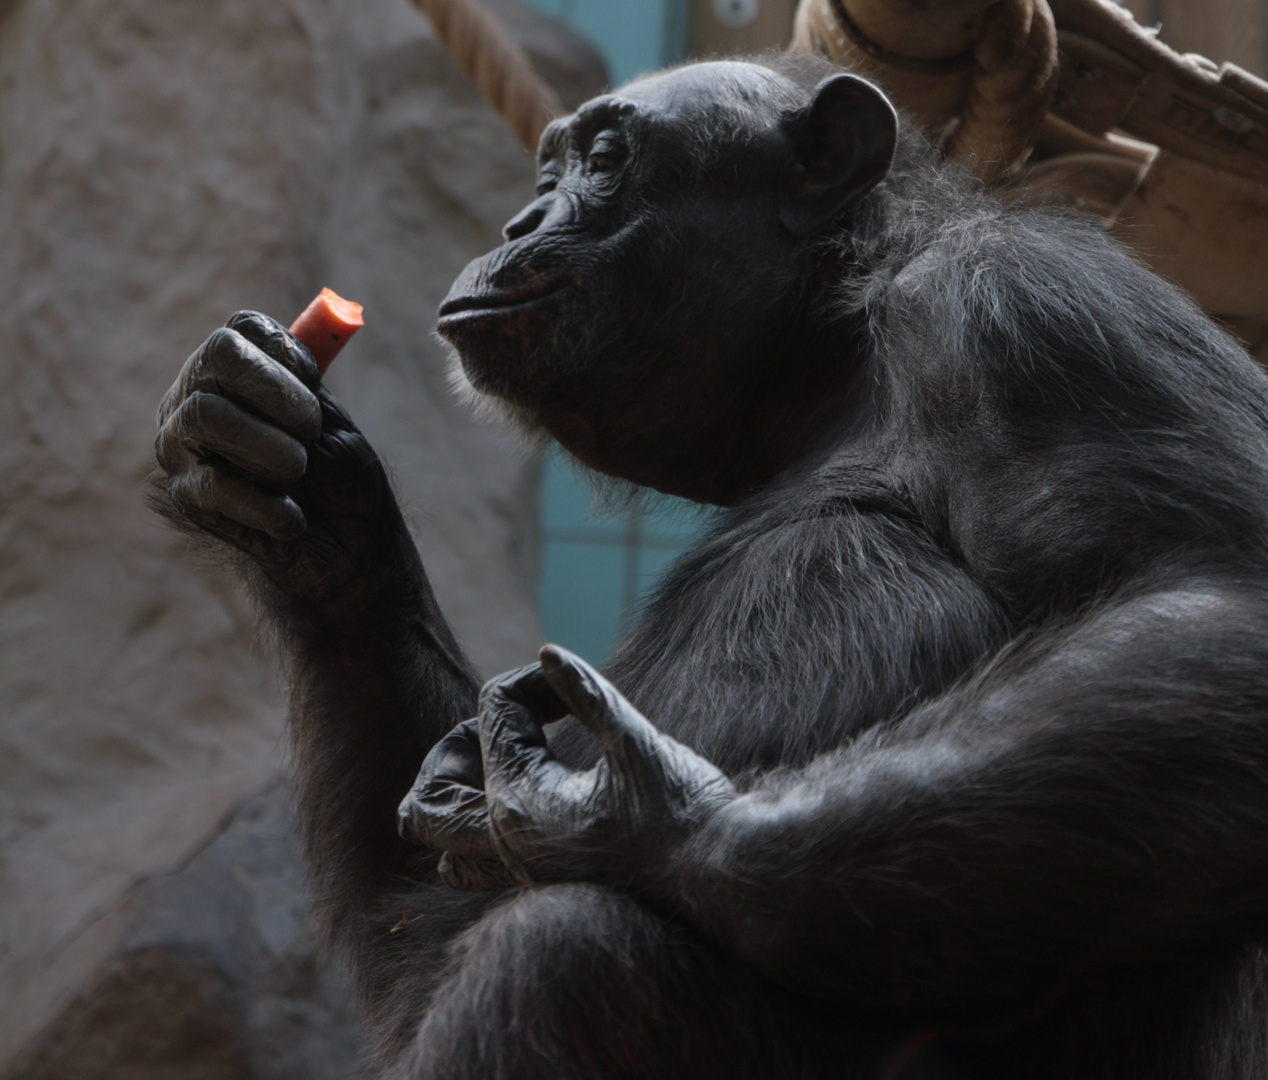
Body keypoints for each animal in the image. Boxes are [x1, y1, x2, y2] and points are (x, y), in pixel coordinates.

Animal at [153, 57, 1268, 1080]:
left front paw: (632, 814)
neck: (838, 349)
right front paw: (291, 473)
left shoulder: (1032, 316)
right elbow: (422, 925)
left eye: (605, 159)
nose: (520, 218)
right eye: (548, 167)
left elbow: (1216, 602)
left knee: (566, 958)